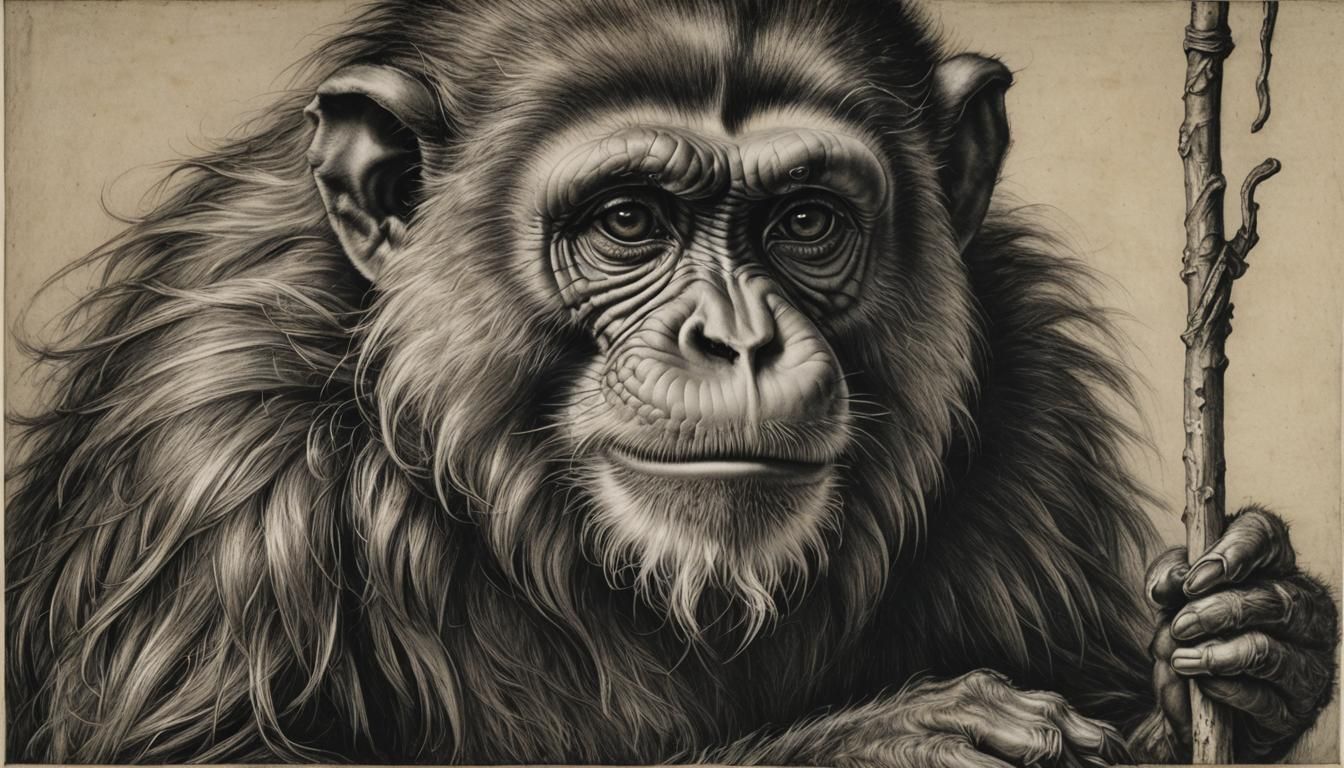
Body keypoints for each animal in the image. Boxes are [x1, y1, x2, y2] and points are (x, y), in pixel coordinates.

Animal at [6, 0, 1337, 765]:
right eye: (629, 220)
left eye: (806, 220)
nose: (736, 340)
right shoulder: (209, 452)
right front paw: (881, 742)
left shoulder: (1035, 411)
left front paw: (1260, 627)